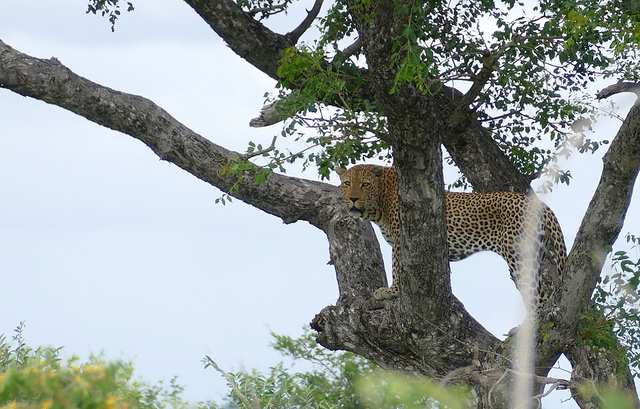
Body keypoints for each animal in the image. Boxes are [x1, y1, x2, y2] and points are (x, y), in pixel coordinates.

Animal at [337, 164, 567, 302]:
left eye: (365, 185)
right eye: (347, 184)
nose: (353, 199)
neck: (380, 204)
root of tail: (541, 205)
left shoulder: (401, 240)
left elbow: (397, 268)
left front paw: (391, 292)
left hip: (519, 255)